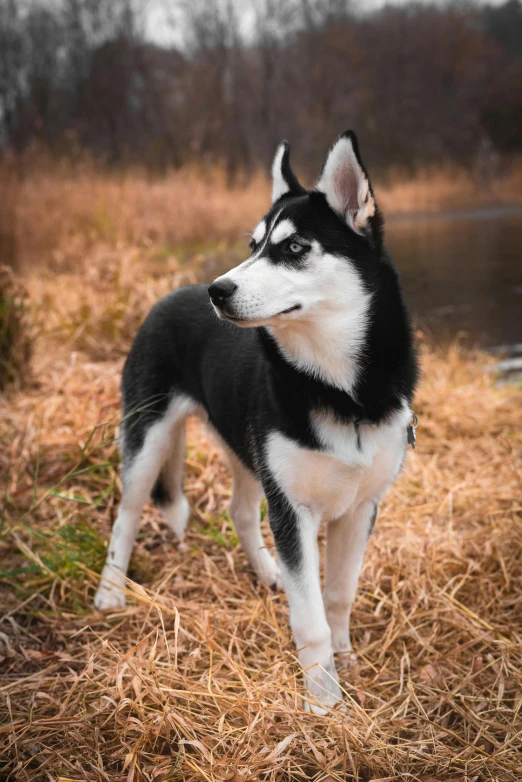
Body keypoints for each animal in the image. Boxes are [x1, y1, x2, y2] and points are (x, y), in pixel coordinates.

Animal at [93, 130, 416, 716]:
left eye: (294, 248)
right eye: (253, 246)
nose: (217, 292)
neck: (339, 389)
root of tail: (170, 294)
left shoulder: (360, 507)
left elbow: (337, 595)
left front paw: (347, 662)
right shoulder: (293, 510)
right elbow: (309, 618)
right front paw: (323, 703)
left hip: (246, 449)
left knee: (241, 512)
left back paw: (268, 572)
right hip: (148, 439)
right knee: (126, 515)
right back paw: (109, 590)